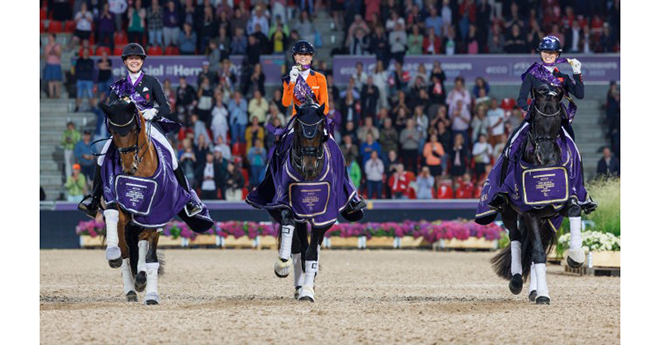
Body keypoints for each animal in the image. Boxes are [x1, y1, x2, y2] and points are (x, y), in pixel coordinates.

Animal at [246, 99, 364, 300]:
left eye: (321, 129)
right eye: (299, 130)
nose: (309, 166)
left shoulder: (325, 215)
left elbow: (311, 252)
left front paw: (308, 290)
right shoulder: (290, 205)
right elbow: (294, 236)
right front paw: (283, 265)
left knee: (312, 247)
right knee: (297, 246)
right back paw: (294, 278)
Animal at [484, 85, 584, 304]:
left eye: (559, 120)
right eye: (535, 120)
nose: (545, 155)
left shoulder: (563, 202)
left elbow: (574, 209)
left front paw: (576, 256)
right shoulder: (529, 211)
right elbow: (537, 252)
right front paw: (543, 295)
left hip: (548, 220)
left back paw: (533, 291)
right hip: (510, 212)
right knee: (516, 238)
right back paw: (516, 282)